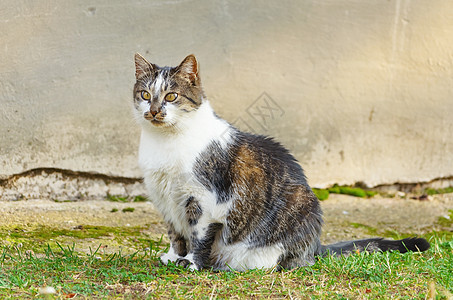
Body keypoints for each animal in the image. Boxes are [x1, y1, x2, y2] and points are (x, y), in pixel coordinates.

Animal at [132, 54, 430, 272]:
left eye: (172, 96)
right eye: (145, 95)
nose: (154, 111)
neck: (165, 143)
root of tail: (316, 245)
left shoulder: (206, 199)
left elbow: (198, 234)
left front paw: (192, 263)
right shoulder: (165, 200)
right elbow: (176, 233)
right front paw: (174, 257)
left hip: (298, 211)